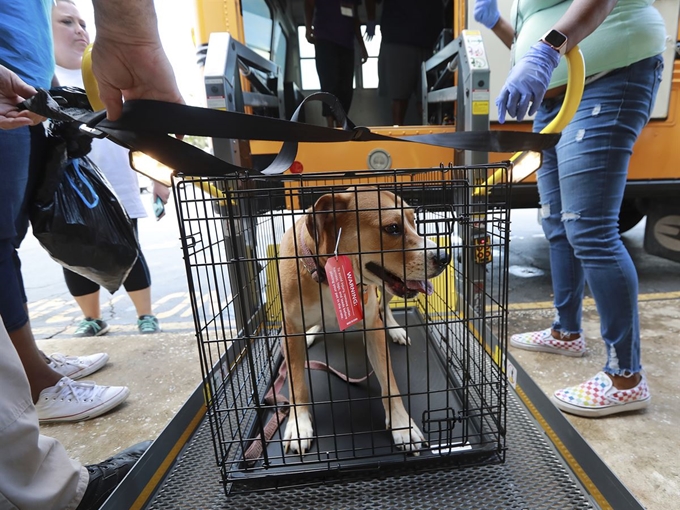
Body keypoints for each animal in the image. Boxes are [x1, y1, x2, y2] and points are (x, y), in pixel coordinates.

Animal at [278, 187, 448, 454]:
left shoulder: (372, 326)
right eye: (393, 228)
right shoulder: (291, 329)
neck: (327, 274)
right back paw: (313, 331)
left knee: (383, 306)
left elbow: (389, 382)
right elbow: (296, 383)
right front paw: (298, 423)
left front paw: (402, 424)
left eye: (414, 222)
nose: (444, 256)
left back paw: (395, 329)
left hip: (386, 290)